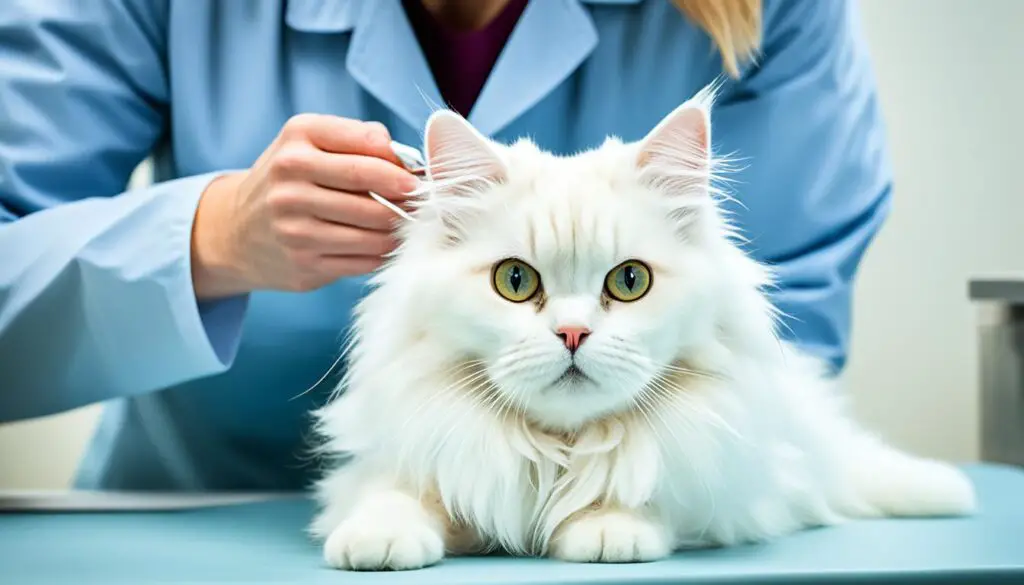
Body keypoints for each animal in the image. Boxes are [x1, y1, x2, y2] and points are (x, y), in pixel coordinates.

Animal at [309, 87, 974, 573]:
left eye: (629, 281)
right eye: (515, 280)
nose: (573, 334)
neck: (558, 453)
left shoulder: (733, 487)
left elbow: (642, 490)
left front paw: (608, 529)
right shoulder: (396, 459)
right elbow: (393, 493)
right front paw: (375, 541)